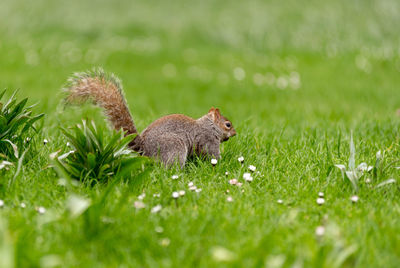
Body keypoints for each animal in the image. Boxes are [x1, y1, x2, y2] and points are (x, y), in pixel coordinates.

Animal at [64, 68, 236, 166]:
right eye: (228, 124)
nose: (235, 133)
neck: (208, 125)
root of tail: (144, 149)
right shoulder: (208, 139)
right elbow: (212, 154)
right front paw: (223, 163)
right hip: (174, 148)